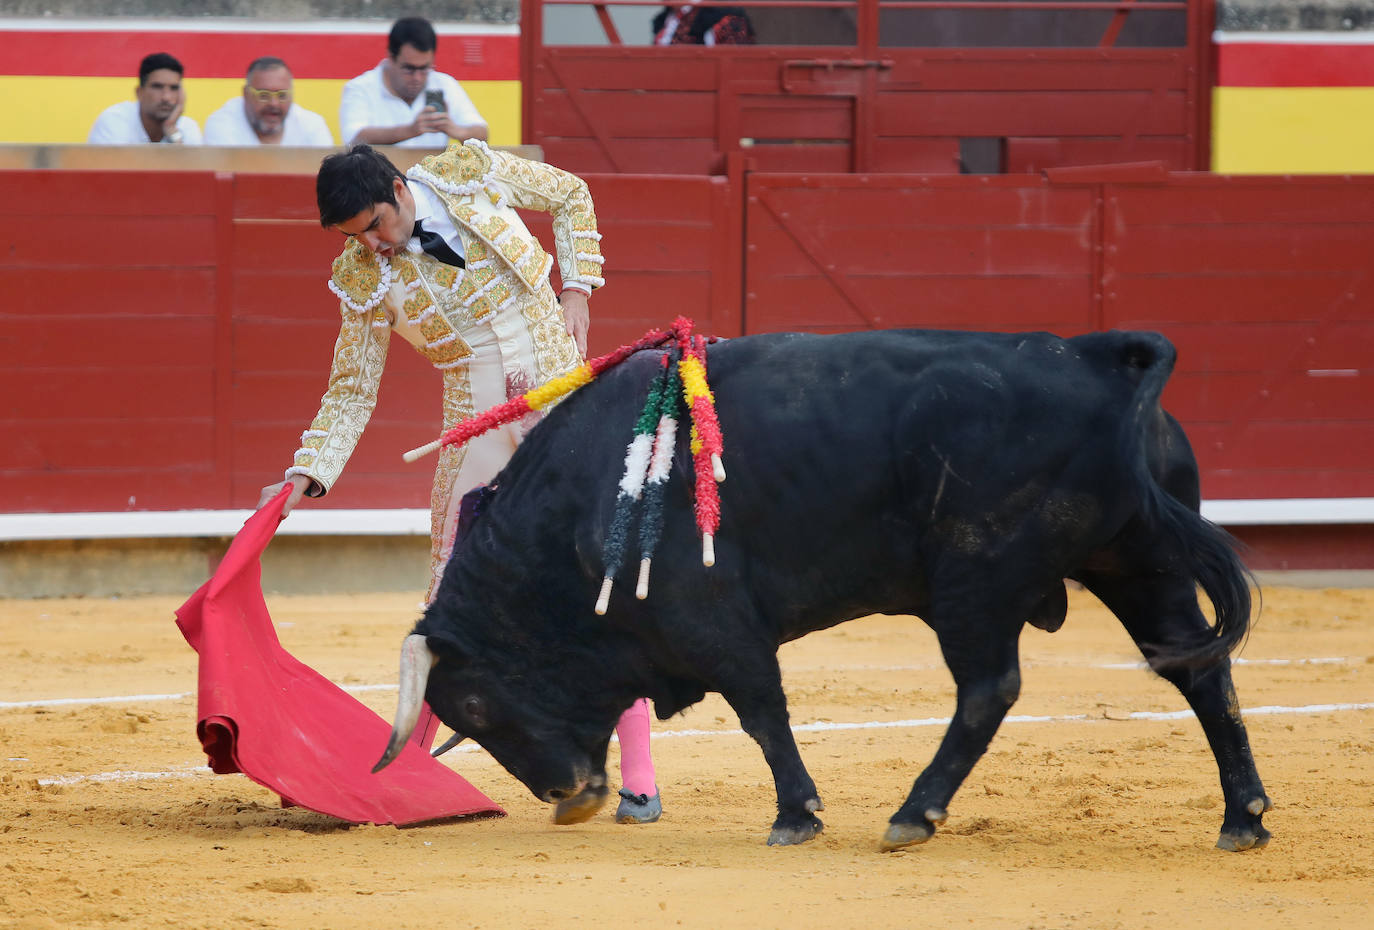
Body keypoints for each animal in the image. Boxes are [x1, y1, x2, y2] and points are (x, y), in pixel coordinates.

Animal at [373, 326, 1264, 846]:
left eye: (475, 703)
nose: (567, 796)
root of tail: (1094, 361)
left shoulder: (713, 620)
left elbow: (763, 712)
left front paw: (796, 815)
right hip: (1140, 565)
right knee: (1199, 668)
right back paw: (1243, 819)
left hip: (977, 581)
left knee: (988, 688)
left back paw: (912, 815)